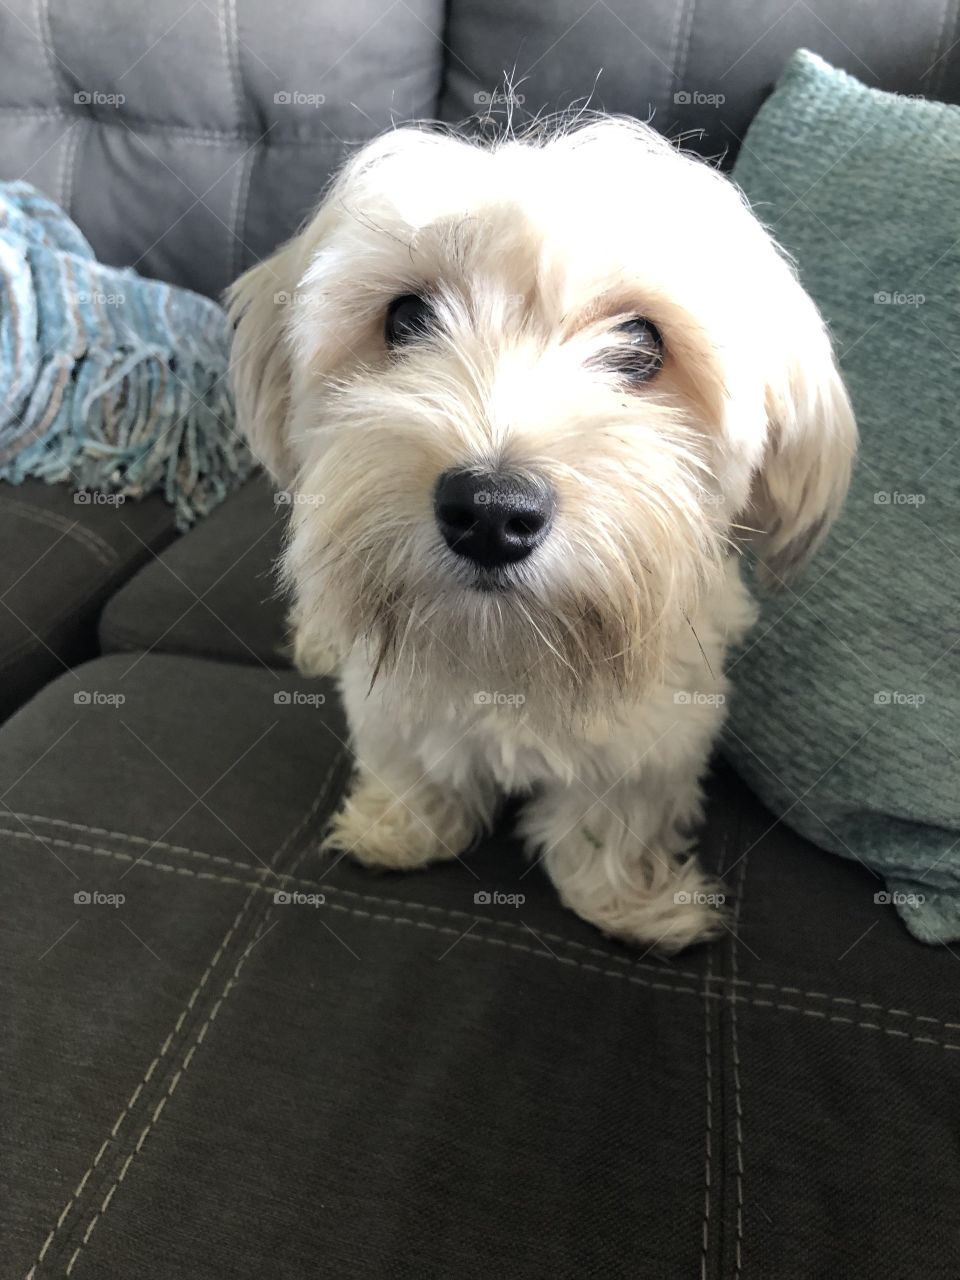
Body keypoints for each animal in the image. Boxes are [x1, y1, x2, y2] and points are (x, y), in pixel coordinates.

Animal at [229, 120, 860, 952]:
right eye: (405, 319)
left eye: (641, 343)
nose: (490, 512)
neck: (510, 647)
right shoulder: (390, 701)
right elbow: (410, 757)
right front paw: (401, 825)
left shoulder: (657, 729)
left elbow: (613, 812)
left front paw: (626, 897)